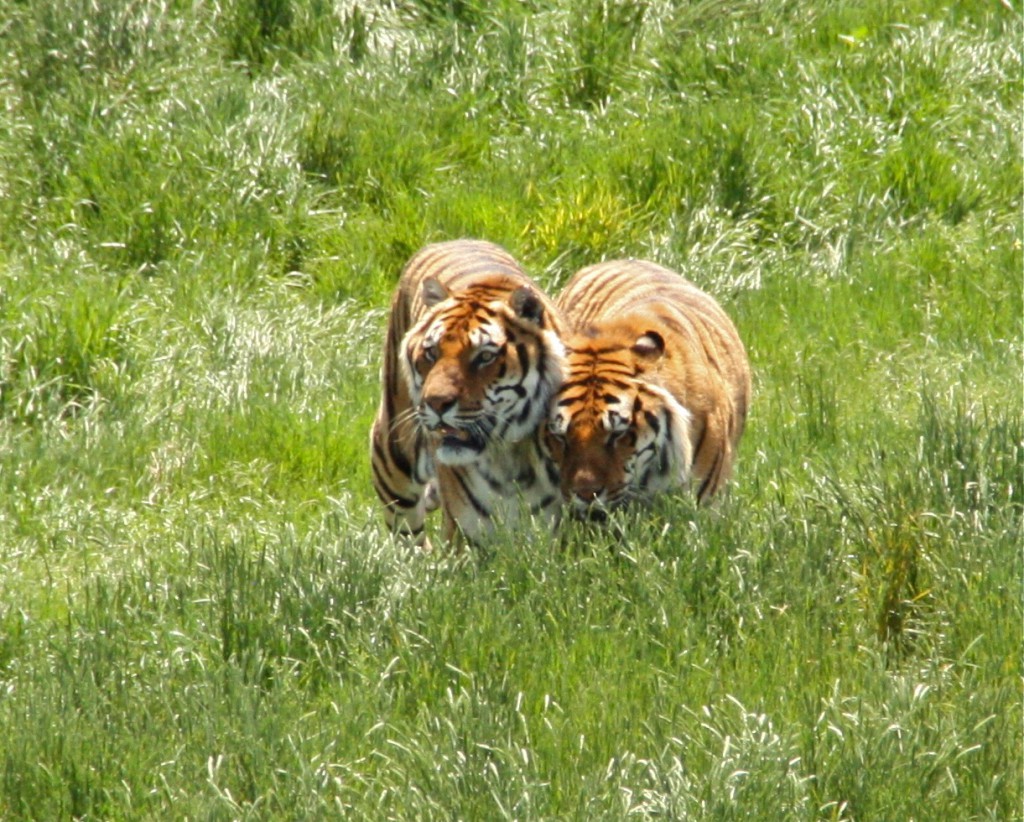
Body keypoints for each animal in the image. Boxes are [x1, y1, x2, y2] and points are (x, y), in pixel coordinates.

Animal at [370, 237, 569, 544]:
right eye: (432, 352)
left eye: (484, 356)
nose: (436, 403)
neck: (508, 460)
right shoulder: (466, 535)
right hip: (393, 457)